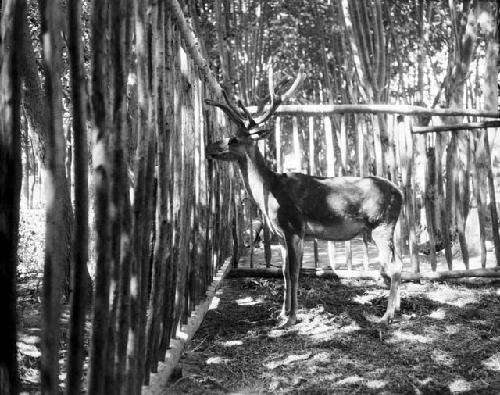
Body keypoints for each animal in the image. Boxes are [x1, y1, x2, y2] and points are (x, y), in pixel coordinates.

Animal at [205, 65, 404, 328]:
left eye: (234, 139)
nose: (209, 148)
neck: (271, 190)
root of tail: (400, 194)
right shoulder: (280, 235)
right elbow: (283, 272)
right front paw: (281, 313)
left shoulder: (293, 227)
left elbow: (293, 272)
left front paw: (291, 318)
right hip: (379, 230)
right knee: (399, 261)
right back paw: (397, 308)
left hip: (380, 224)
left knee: (394, 265)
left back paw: (387, 316)